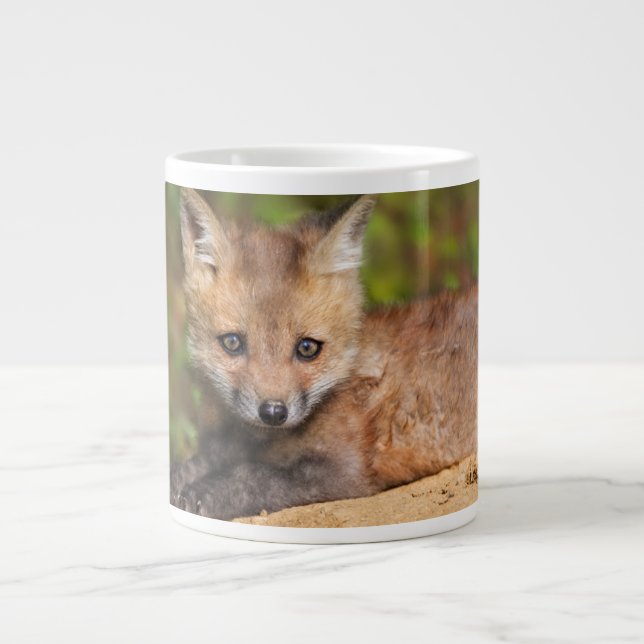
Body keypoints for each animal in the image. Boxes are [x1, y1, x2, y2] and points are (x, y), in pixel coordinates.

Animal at [170, 188, 477, 520]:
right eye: (232, 343)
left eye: (307, 348)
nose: (273, 413)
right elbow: (209, 457)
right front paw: (182, 475)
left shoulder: (347, 471)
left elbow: (256, 475)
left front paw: (208, 491)